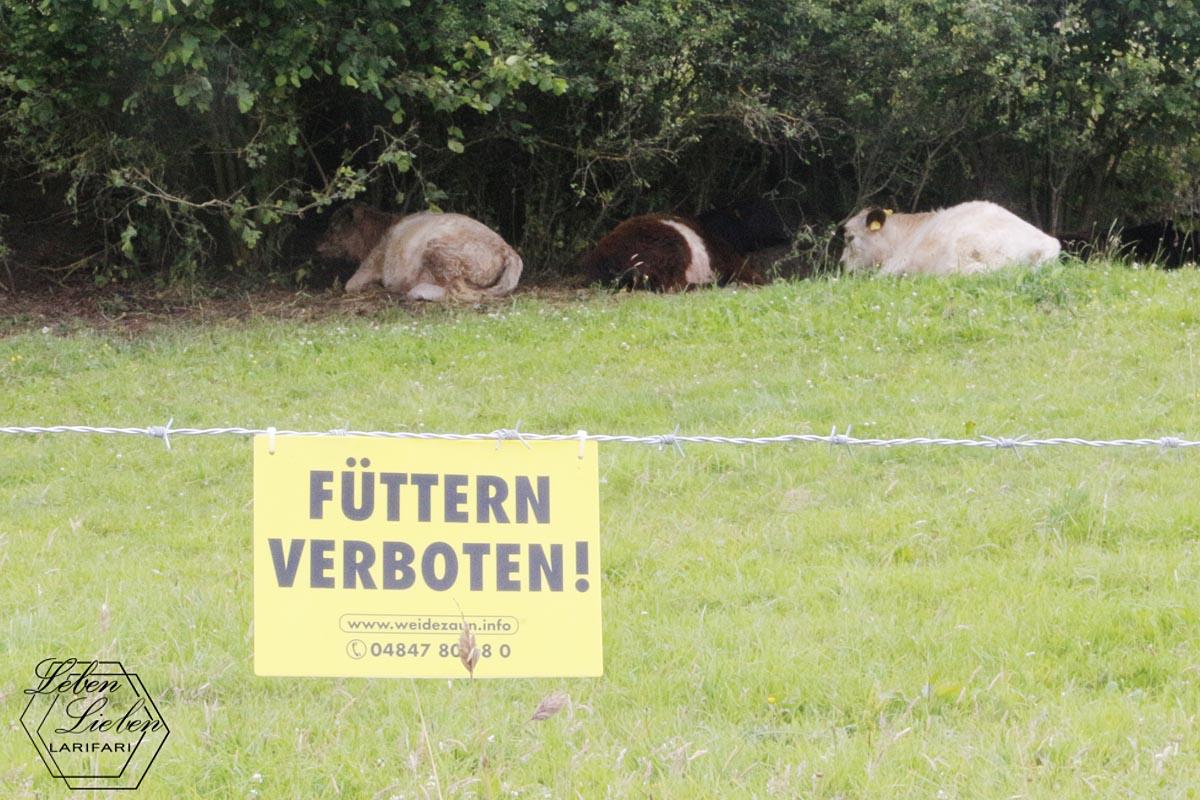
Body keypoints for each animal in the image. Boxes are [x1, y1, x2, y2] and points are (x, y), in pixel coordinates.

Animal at [316, 201, 523, 302]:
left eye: (334, 227)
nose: (317, 246)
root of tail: (507, 250)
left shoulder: (370, 265)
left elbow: (350, 285)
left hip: (441, 253)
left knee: (458, 291)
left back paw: (416, 292)